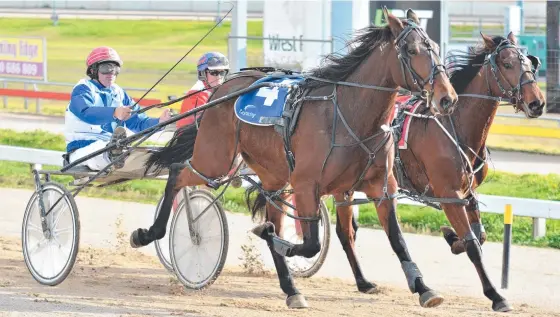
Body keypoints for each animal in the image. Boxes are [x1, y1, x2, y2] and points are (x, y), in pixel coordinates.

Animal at [132, 8, 460, 308]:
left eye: (436, 47)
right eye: (412, 50)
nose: (447, 98)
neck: (350, 114)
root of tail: (221, 89)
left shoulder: (380, 186)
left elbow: (396, 239)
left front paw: (423, 287)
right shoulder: (305, 185)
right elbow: (311, 243)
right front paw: (280, 242)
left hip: (273, 177)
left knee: (270, 211)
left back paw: (291, 289)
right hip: (215, 160)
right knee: (178, 171)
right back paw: (149, 233)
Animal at [330, 30, 544, 312]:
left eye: (530, 63)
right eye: (507, 64)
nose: (537, 103)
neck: (455, 126)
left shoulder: (467, 192)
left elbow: (480, 235)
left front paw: (453, 239)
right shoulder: (448, 194)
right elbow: (473, 246)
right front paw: (496, 295)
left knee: (349, 231)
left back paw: (363, 282)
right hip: (343, 186)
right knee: (345, 233)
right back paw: (362, 280)